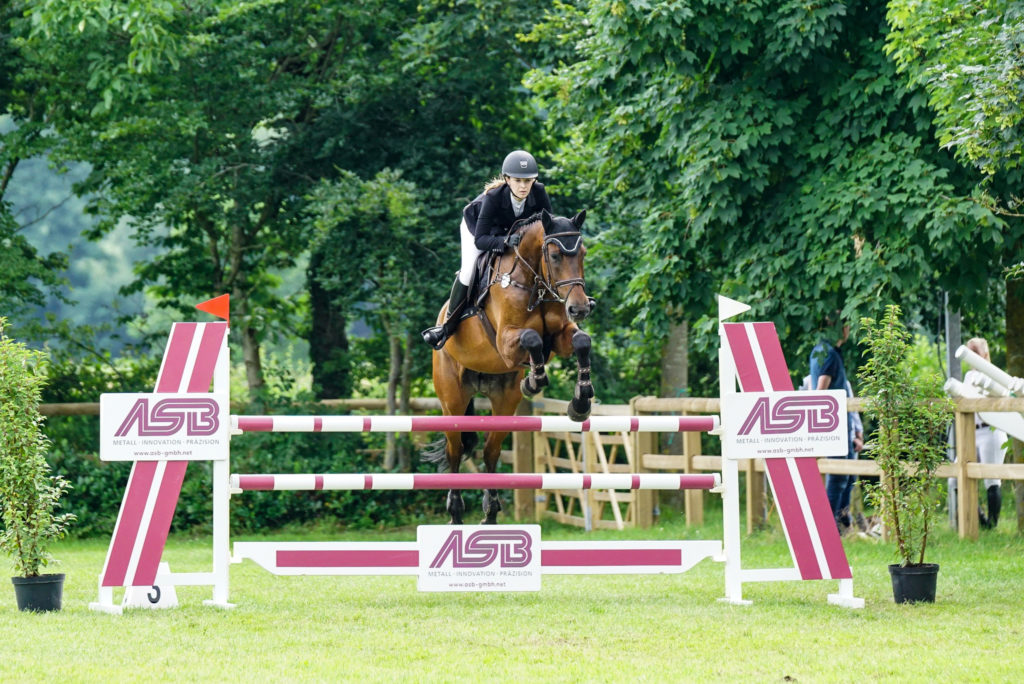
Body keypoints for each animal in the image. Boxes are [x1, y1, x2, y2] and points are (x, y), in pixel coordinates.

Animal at [428, 208, 598, 524]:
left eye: (582, 253)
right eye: (554, 255)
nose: (580, 308)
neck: (534, 281)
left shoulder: (561, 335)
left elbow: (582, 340)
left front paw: (580, 402)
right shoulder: (506, 342)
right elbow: (532, 338)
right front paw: (534, 381)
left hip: (504, 399)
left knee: (491, 451)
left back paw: (491, 514)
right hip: (452, 399)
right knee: (455, 451)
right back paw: (456, 514)